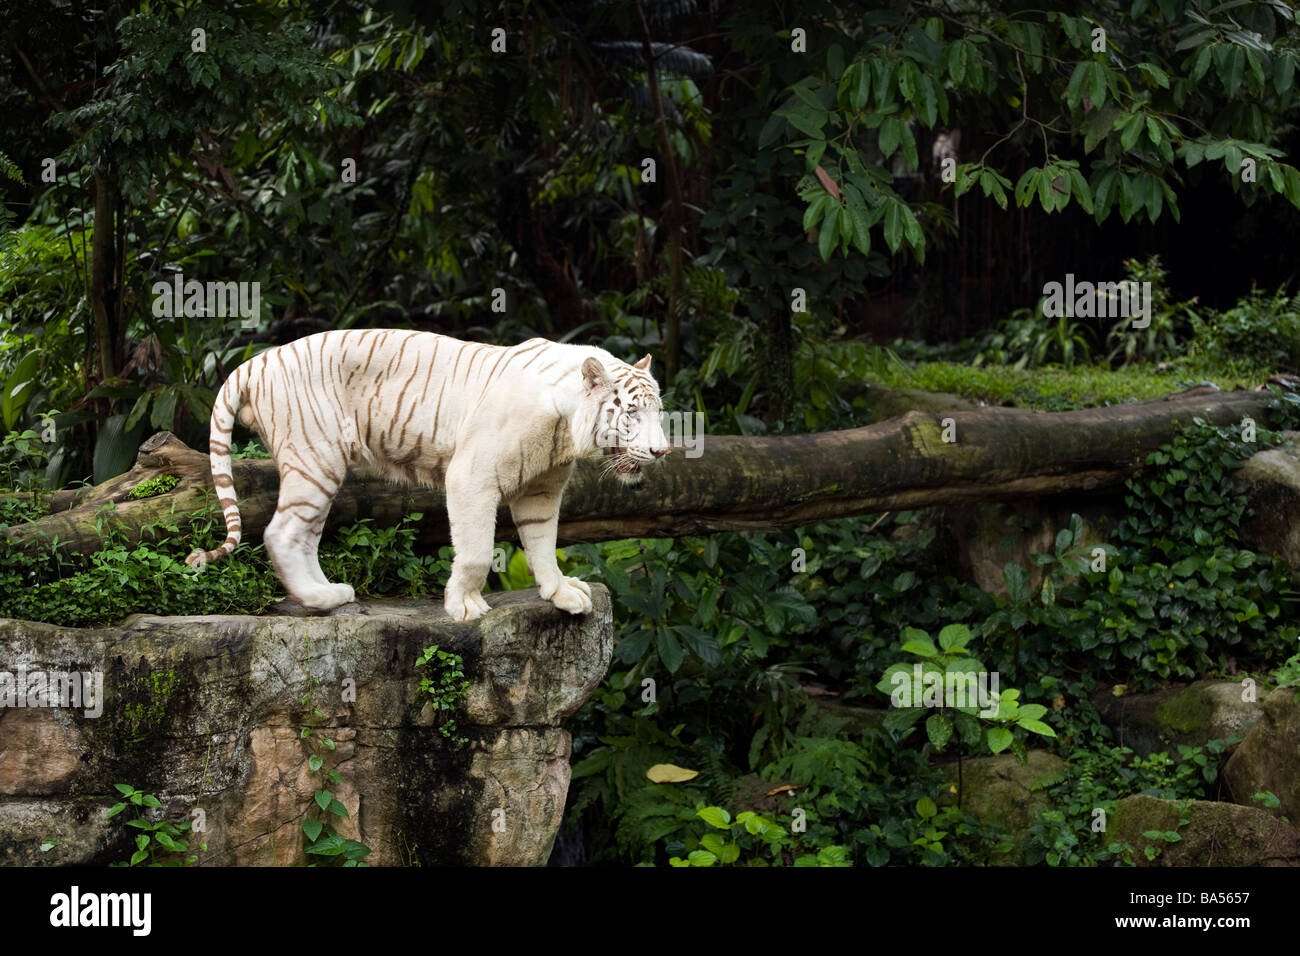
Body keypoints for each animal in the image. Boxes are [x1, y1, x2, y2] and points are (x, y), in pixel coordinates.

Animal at [186, 329, 670, 621]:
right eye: (631, 413)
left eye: (659, 412)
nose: (661, 451)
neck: (564, 428)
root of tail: (258, 361)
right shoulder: (472, 477)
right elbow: (476, 552)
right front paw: (465, 606)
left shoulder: (541, 490)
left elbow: (542, 543)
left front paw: (560, 592)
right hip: (315, 458)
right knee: (281, 532)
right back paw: (318, 600)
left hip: (320, 469)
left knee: (303, 536)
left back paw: (329, 593)